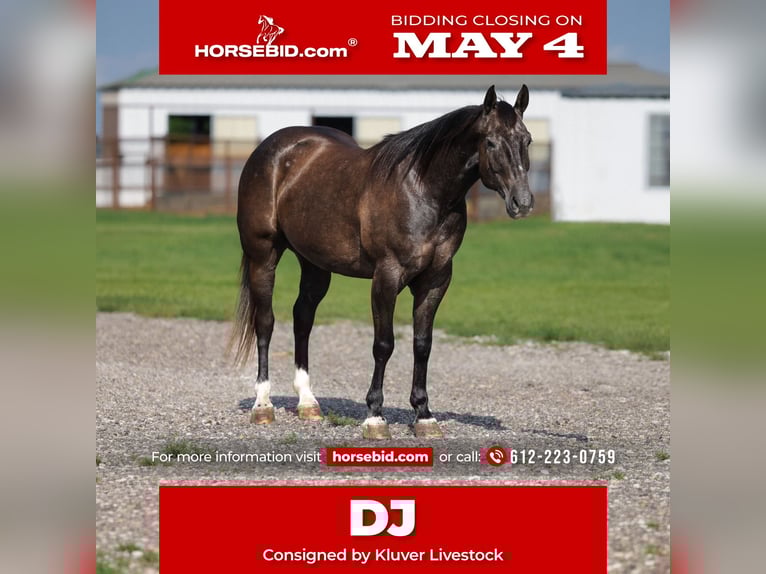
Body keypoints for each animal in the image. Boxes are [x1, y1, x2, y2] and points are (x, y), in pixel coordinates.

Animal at [231, 85, 534, 439]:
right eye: (490, 142)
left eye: (527, 140)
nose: (522, 202)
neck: (422, 190)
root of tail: (270, 149)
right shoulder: (387, 276)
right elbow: (384, 344)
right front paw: (375, 416)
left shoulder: (436, 280)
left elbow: (422, 344)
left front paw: (424, 415)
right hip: (263, 256)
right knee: (265, 322)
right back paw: (262, 405)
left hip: (315, 265)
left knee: (302, 319)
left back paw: (308, 403)